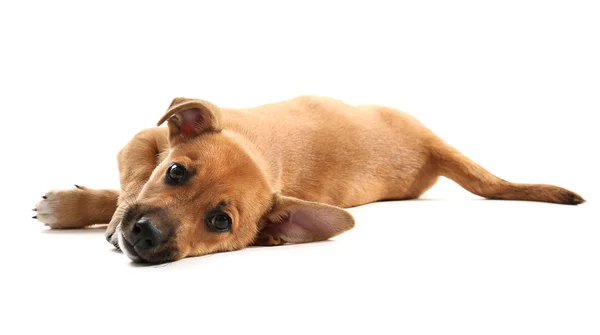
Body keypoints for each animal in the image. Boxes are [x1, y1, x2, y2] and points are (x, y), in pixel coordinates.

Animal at [30, 96, 584, 264]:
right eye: (177, 172)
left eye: (219, 222)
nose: (146, 234)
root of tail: (430, 143)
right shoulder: (144, 141)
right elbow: (130, 185)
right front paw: (88, 209)